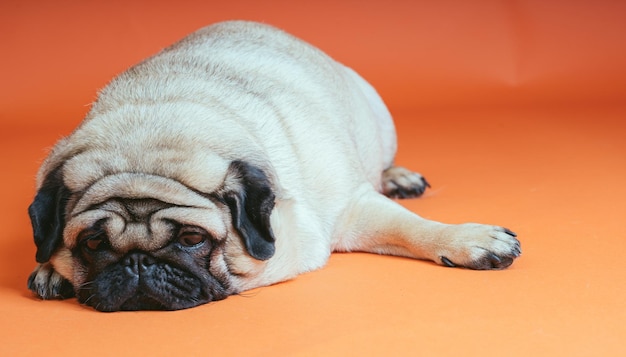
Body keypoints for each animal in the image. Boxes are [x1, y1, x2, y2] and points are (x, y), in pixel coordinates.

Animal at [26, 20, 520, 310]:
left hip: (378, 119)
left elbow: (412, 227)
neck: (153, 127)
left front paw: (467, 239)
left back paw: (398, 176)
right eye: (92, 243)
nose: (137, 263)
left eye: (191, 240)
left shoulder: (353, 207)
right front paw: (53, 269)